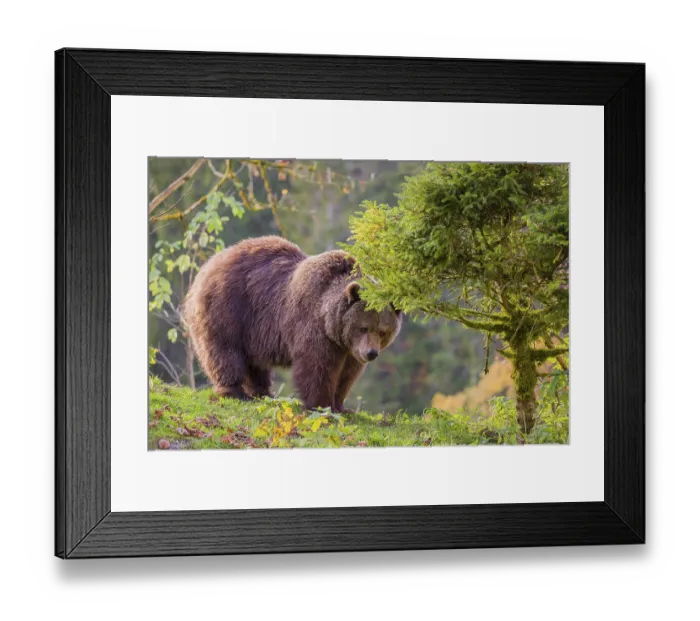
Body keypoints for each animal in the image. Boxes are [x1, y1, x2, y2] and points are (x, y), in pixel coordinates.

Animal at [182, 236, 402, 412]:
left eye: (383, 331)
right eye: (363, 327)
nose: (371, 353)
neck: (330, 323)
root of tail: (207, 266)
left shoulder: (349, 348)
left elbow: (347, 375)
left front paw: (341, 405)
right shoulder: (312, 326)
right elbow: (316, 367)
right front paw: (321, 405)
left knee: (254, 363)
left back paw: (263, 392)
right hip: (229, 309)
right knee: (225, 351)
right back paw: (234, 391)